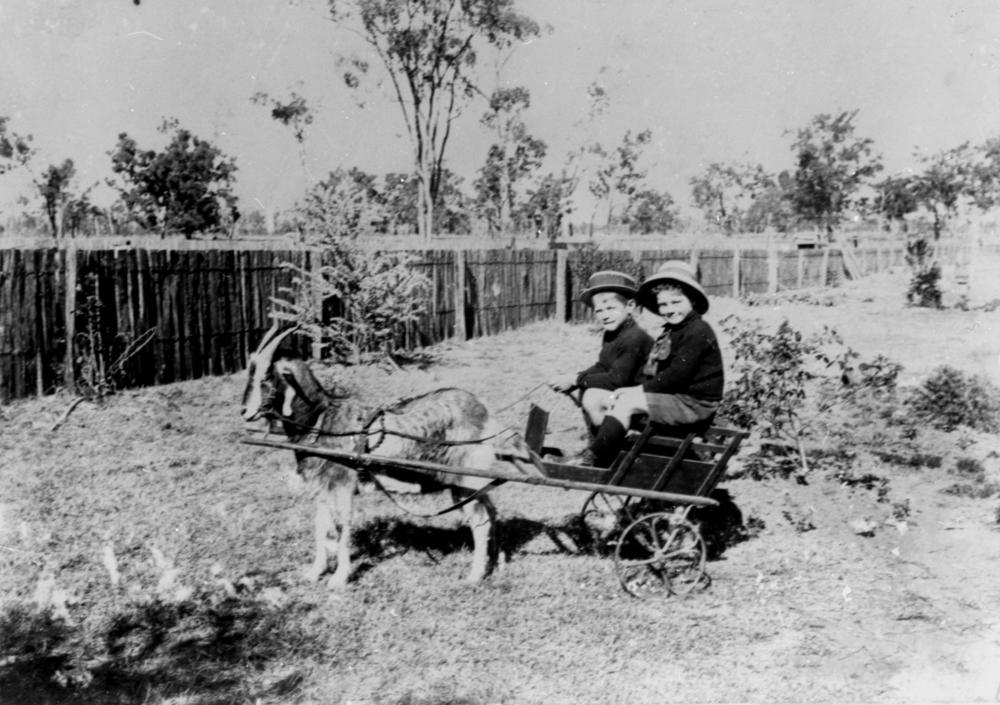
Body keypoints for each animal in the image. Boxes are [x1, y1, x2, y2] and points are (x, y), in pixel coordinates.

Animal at [243, 322, 500, 584]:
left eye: (265, 376)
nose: (246, 411)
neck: (321, 420)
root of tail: (484, 412)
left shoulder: (343, 482)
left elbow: (342, 524)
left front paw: (339, 579)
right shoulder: (322, 486)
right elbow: (321, 525)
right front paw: (314, 572)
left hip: (465, 479)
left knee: (480, 521)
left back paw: (475, 575)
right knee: (491, 511)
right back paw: (497, 563)